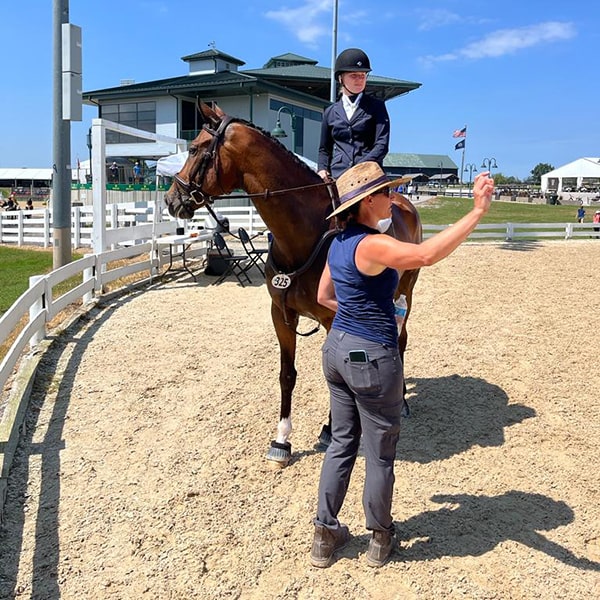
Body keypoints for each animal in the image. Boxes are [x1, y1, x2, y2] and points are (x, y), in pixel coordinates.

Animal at [162, 103, 420, 468]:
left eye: (196, 149)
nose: (171, 200)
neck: (307, 232)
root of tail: (405, 204)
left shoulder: (332, 320)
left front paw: (330, 429)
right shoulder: (281, 315)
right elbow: (287, 374)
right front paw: (281, 441)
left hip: (406, 294)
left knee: (400, 339)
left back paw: (402, 402)